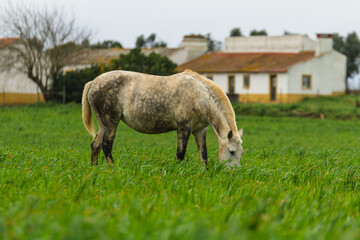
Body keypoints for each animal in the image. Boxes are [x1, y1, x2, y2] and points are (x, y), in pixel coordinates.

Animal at [81, 69, 245, 167]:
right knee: (106, 146)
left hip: (103, 125)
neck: (201, 96)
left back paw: (95, 169)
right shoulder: (184, 127)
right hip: (111, 123)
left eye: (241, 152)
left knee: (95, 146)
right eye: (231, 151)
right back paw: (113, 169)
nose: (232, 174)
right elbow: (181, 153)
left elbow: (203, 155)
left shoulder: (200, 130)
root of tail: (93, 82)